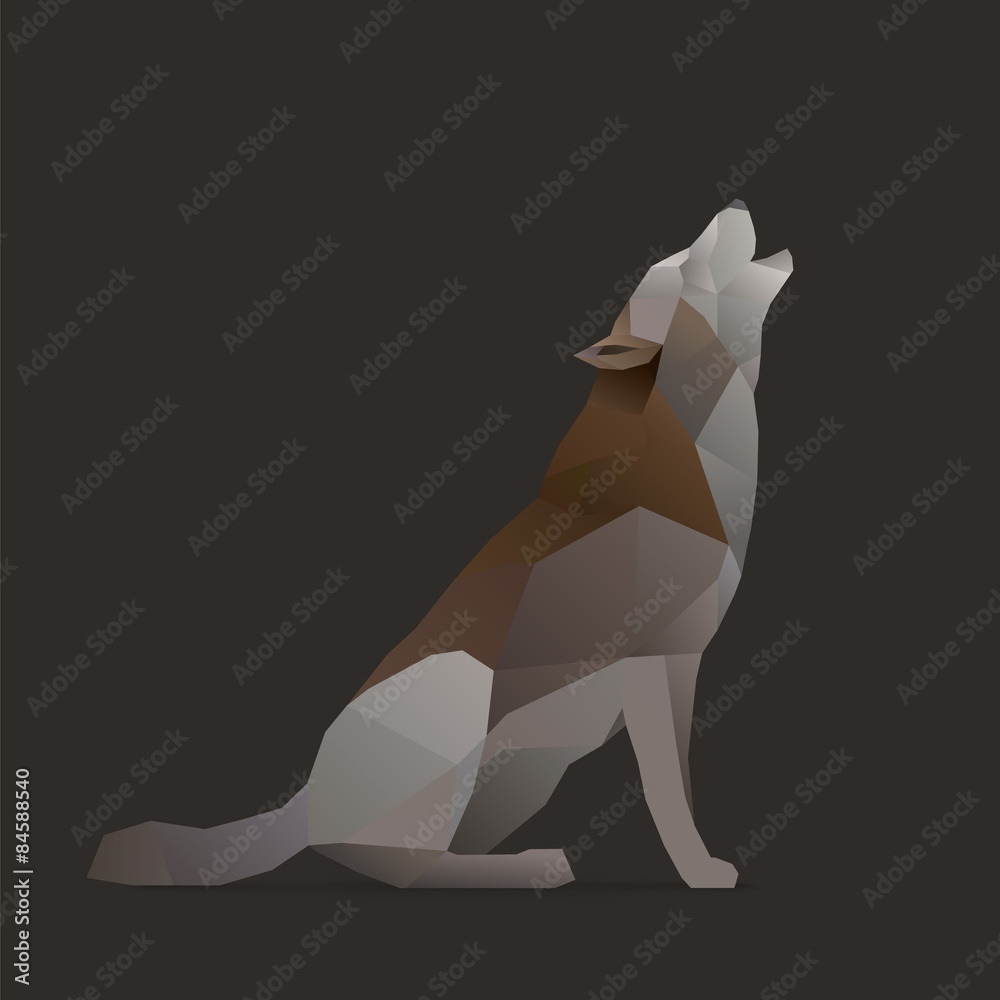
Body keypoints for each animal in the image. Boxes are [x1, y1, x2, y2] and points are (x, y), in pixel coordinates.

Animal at [89, 202, 792, 890]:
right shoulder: (661, 661)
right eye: (686, 262)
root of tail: (305, 803)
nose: (734, 201)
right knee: (392, 864)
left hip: (529, 775)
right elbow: (674, 792)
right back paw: (531, 867)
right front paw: (703, 872)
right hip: (462, 694)